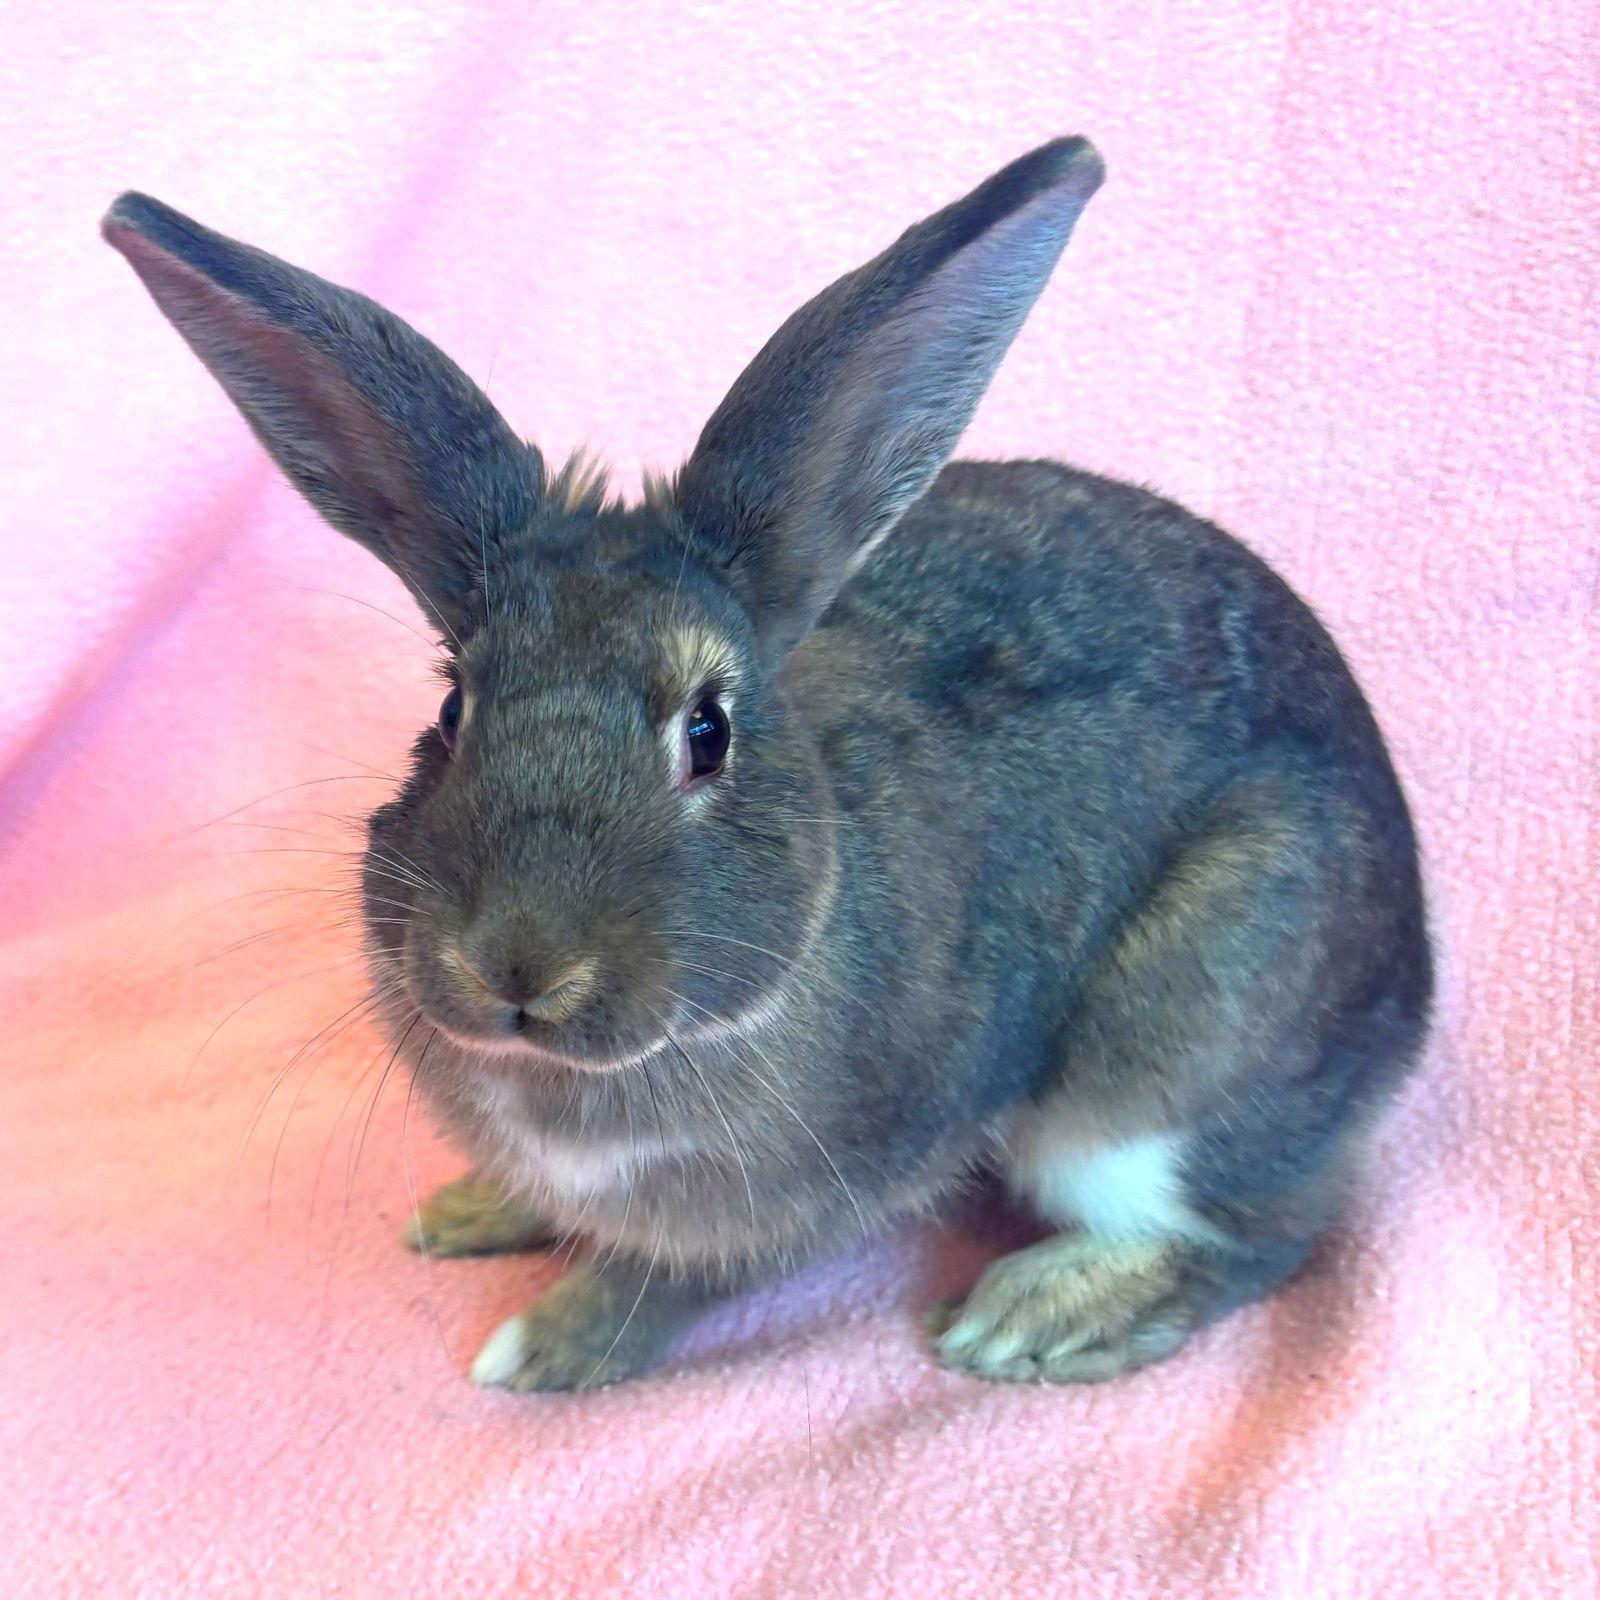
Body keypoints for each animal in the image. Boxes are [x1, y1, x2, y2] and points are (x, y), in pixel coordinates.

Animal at [102, 135, 1432, 1392]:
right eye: (451, 706)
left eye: (709, 730)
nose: (516, 965)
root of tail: (1414, 994)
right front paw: (473, 1209)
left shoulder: (801, 1202)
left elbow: (668, 1281)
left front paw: (544, 1346)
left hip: (1175, 1058)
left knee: (1261, 1234)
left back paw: (1033, 1317)